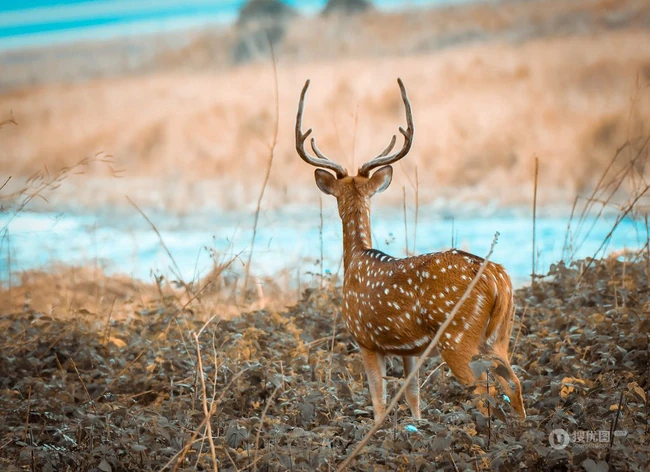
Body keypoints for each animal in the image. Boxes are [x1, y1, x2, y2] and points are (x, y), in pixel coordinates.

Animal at [295, 78, 526, 423]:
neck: (356, 259)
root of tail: (497, 279)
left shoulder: (365, 338)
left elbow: (379, 400)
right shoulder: (410, 350)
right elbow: (414, 396)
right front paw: (417, 425)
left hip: (458, 337)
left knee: (486, 392)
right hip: (500, 334)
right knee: (514, 382)